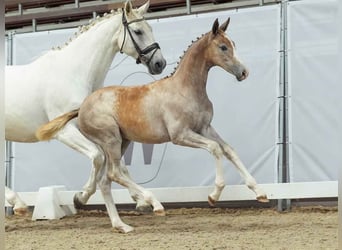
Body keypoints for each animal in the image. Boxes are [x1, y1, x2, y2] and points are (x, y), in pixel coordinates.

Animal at [5, 0, 166, 215]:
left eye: (150, 28)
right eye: (138, 31)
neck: (74, 73)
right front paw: (81, 197)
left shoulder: (92, 128)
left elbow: (117, 163)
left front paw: (142, 201)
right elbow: (98, 157)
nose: (160, 63)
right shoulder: (63, 131)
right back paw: (18, 203)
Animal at [36, 18, 268, 232]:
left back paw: (121, 225)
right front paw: (214, 194)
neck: (185, 89)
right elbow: (215, 148)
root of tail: (82, 106)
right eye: (223, 47)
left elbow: (228, 149)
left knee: (105, 181)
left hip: (121, 142)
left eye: (233, 43)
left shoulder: (205, 128)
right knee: (114, 174)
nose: (244, 72)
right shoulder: (180, 135)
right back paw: (154, 204)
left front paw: (260, 193)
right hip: (111, 140)